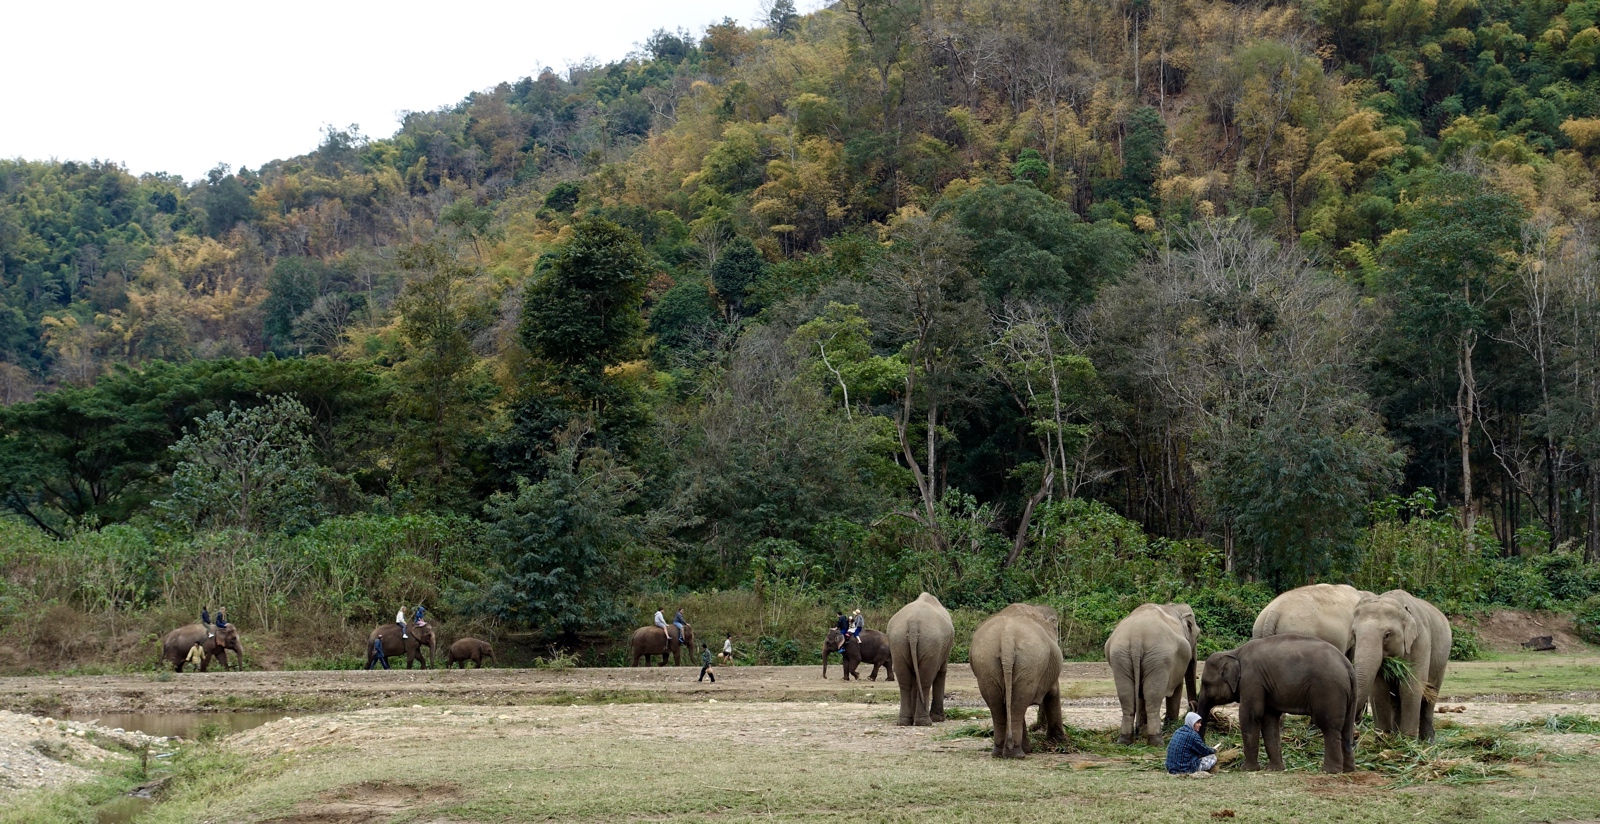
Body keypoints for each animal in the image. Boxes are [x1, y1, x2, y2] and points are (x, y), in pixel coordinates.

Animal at [886, 592, 955, 726]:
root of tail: (914, 622)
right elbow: (941, 671)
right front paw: (939, 719)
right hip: (931, 642)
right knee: (925, 680)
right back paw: (925, 722)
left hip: (898, 641)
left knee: (905, 681)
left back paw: (905, 722)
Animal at [969, 603, 1065, 758]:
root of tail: (1007, 637)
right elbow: (1053, 692)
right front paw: (1060, 743)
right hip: (1030, 663)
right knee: (1019, 701)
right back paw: (1017, 753)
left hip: (986, 663)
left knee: (999, 703)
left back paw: (1002, 752)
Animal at [1104, 602, 1199, 746]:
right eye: (1198, 635)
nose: (1192, 706)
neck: (1174, 607)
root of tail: (1136, 637)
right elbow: (1176, 688)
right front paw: (1171, 725)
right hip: (1159, 658)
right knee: (1153, 698)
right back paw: (1157, 741)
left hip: (1120, 656)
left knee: (1127, 698)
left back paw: (1125, 740)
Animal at [1198, 635, 1358, 774]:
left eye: (1205, 684)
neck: (1234, 652)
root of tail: (1347, 665)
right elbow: (1269, 720)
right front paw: (1275, 769)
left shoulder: (1252, 679)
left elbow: (1250, 715)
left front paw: (1247, 769)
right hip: (1348, 695)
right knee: (1346, 727)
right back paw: (1349, 769)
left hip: (1329, 690)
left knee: (1329, 726)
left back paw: (1329, 771)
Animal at [1351, 589, 1452, 740]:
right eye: (1354, 634)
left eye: (1387, 635)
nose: (1355, 734)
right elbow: (1379, 689)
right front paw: (1383, 738)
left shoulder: (1421, 641)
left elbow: (1411, 687)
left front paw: (1407, 740)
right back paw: (1395, 735)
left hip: (1441, 661)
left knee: (1430, 695)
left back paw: (1427, 740)